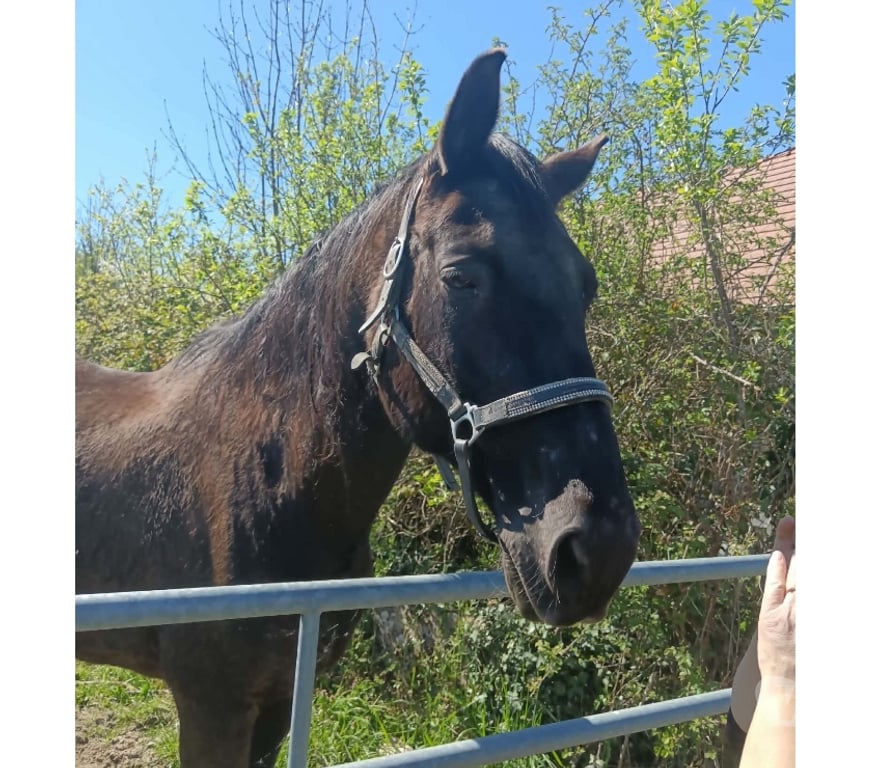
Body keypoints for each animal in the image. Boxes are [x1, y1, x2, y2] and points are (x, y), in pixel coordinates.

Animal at [76, 48, 641, 768]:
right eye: (461, 275)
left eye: (585, 285)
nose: (599, 548)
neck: (268, 484)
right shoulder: (212, 708)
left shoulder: (275, 707)